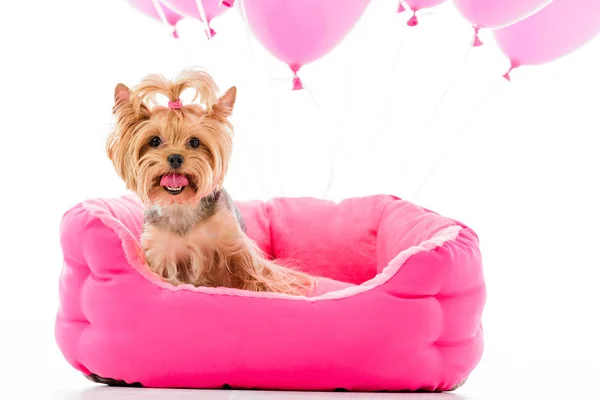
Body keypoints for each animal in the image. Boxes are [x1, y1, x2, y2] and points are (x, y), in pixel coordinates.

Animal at [106, 68, 316, 294]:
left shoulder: (236, 245)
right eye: (154, 141)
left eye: (194, 142)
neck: (182, 207)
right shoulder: (161, 255)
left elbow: (256, 273)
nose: (175, 157)